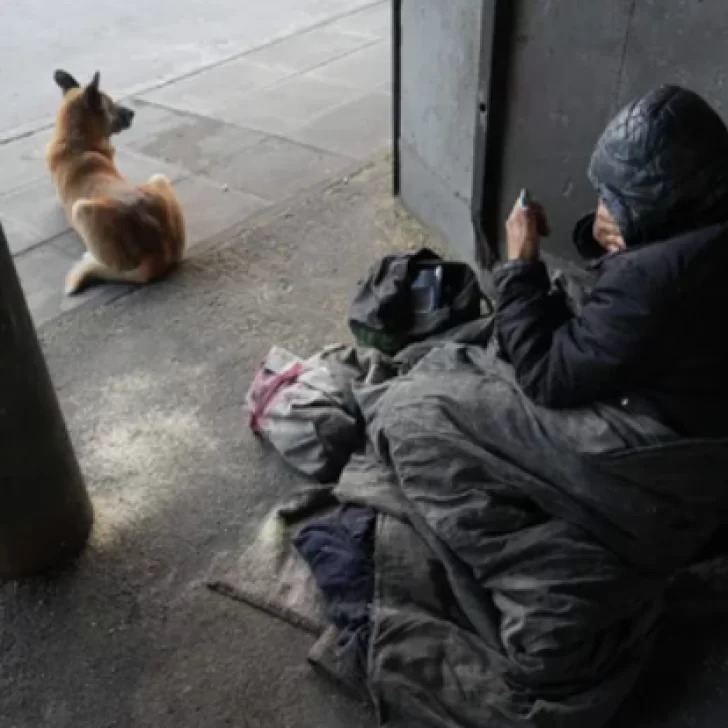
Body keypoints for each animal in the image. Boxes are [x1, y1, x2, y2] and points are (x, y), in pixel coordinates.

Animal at [45, 68, 186, 294]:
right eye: (110, 105)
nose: (132, 113)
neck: (77, 143)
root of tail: (159, 253)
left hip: (81, 209)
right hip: (159, 179)